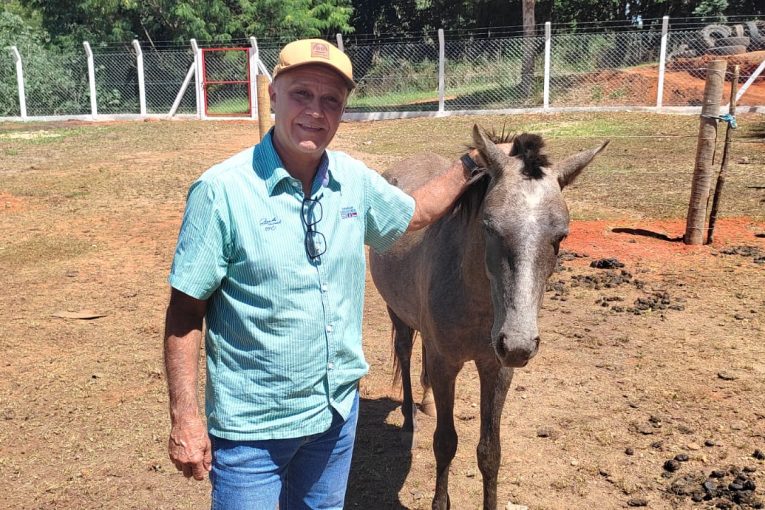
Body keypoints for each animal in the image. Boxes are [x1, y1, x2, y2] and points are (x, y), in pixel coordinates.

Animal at [369, 125, 608, 510]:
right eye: (490, 227)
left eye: (560, 237)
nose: (518, 345)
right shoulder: (446, 365)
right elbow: (445, 443)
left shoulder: (496, 369)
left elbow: (489, 452)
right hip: (397, 314)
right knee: (405, 354)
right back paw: (408, 416)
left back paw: (426, 402)